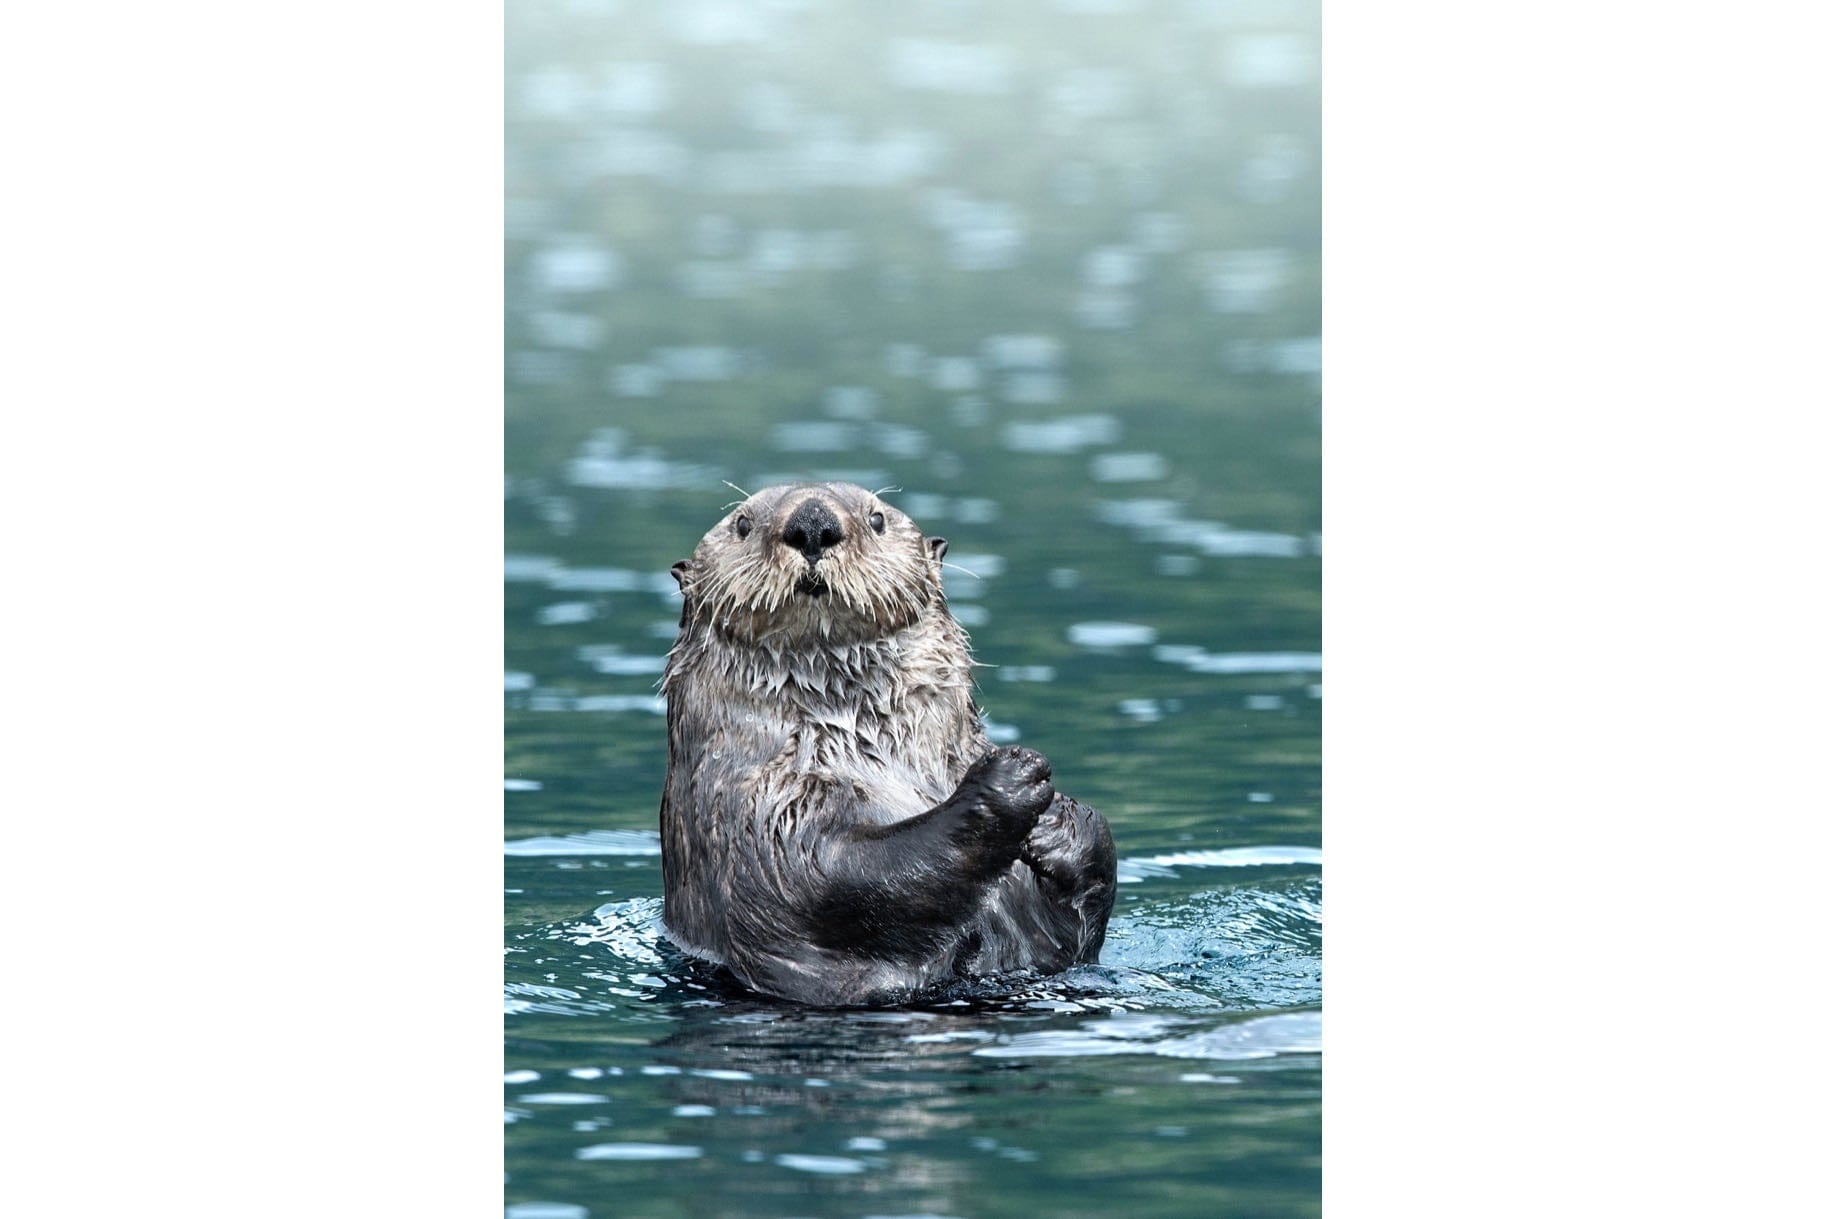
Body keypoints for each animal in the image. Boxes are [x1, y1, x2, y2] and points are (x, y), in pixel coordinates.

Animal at [659, 481, 1117, 1005]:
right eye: (742, 524)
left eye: (876, 519)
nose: (812, 522)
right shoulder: (754, 811)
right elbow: (834, 876)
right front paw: (1008, 779)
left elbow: (1073, 932)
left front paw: (1060, 821)